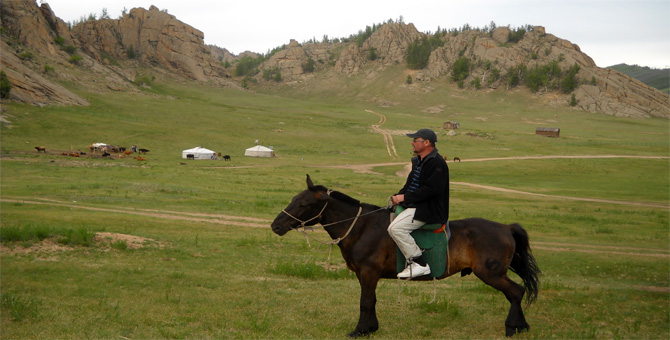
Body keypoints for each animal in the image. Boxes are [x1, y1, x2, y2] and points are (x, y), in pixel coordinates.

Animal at [270, 175, 544, 338]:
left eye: (303, 204)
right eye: (294, 199)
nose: (276, 225)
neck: (361, 227)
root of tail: (506, 227)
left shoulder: (368, 273)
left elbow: (365, 302)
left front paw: (360, 330)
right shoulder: (366, 276)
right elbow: (372, 301)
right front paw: (371, 328)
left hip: (491, 274)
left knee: (516, 292)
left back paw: (512, 327)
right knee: (516, 293)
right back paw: (522, 326)